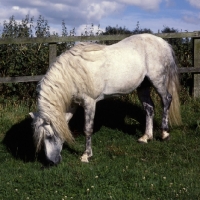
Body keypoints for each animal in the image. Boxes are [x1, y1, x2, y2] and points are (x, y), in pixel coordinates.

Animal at [29, 33, 181, 165]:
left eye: (49, 135)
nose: (52, 162)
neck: (73, 73)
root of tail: (162, 42)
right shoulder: (72, 105)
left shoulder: (89, 103)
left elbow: (87, 129)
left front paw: (86, 155)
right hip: (143, 86)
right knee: (149, 108)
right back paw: (146, 137)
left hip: (158, 81)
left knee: (166, 100)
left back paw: (164, 133)